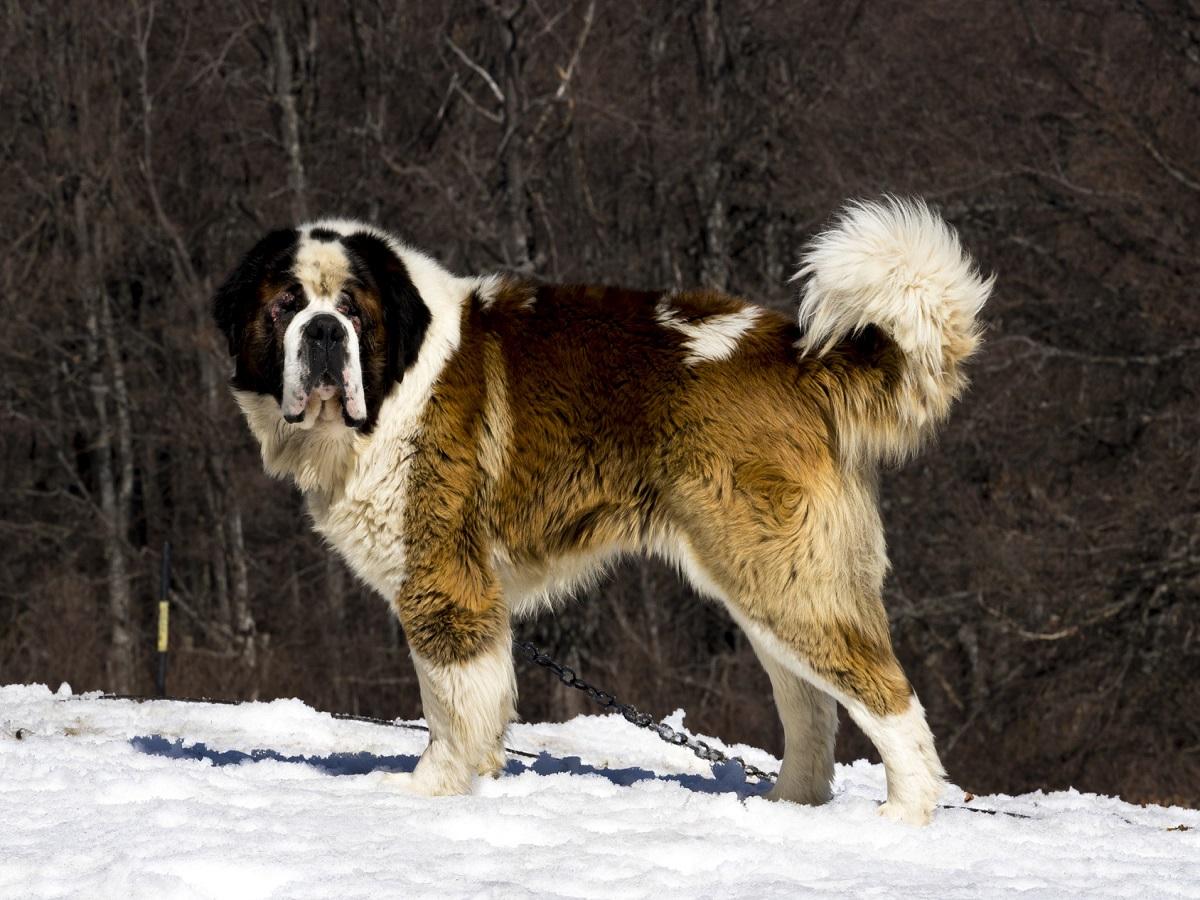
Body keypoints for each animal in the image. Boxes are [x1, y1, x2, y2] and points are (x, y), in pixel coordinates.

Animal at [213, 200, 993, 830]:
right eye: (285, 305)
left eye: (352, 309)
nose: (322, 332)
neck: (395, 384)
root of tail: (796, 352)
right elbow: (479, 699)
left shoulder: (442, 579)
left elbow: (448, 704)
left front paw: (426, 792)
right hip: (763, 579)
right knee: (810, 705)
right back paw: (788, 804)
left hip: (782, 575)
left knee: (885, 694)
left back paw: (904, 812)